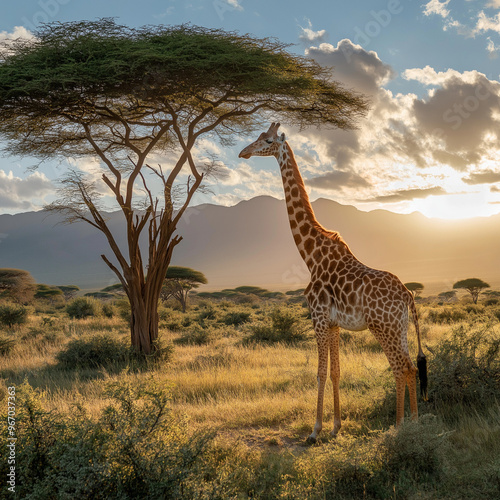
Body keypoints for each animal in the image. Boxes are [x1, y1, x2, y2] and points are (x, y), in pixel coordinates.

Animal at [238, 123, 426, 444]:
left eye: (268, 140)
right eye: (259, 136)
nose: (244, 152)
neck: (310, 254)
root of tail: (407, 296)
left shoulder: (318, 318)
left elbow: (320, 373)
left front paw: (315, 430)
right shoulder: (335, 323)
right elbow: (337, 372)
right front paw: (337, 426)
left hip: (382, 327)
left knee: (400, 368)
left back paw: (399, 429)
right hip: (399, 327)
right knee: (412, 368)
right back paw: (413, 425)